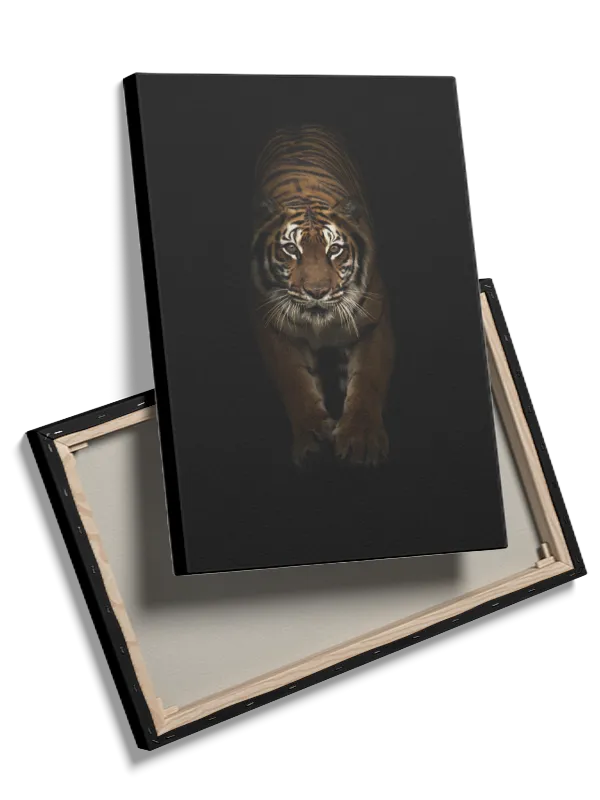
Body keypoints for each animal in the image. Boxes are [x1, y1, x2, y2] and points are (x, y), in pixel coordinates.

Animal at [250, 124, 394, 466]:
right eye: (291, 249)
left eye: (335, 250)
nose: (317, 291)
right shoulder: (273, 327)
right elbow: (295, 382)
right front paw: (312, 438)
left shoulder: (373, 321)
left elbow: (368, 378)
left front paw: (360, 440)